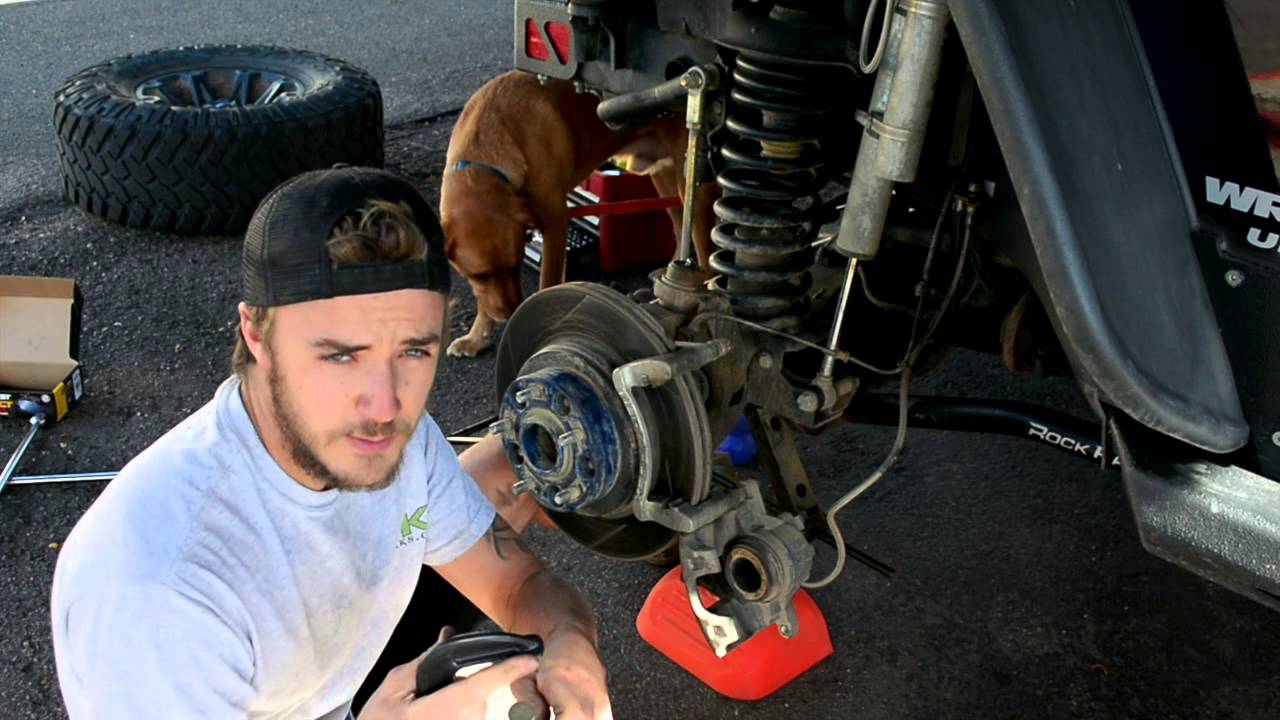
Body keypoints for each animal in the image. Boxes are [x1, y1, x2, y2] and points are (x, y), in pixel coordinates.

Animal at [440, 70, 721, 356]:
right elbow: (482, 297)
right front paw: (476, 337)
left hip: (692, 182)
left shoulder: (555, 223)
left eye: (516, 264)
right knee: (679, 223)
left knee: (704, 250)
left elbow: (548, 281)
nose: (509, 312)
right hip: (663, 177)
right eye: (480, 275)